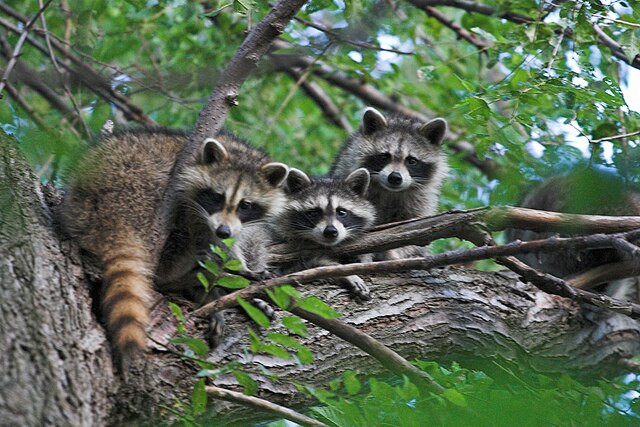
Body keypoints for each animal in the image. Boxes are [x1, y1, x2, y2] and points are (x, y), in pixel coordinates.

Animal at [62, 129, 288, 362]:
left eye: (245, 205)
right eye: (217, 197)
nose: (223, 230)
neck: (238, 151)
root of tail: (107, 208)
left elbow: (227, 243)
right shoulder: (191, 199)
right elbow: (211, 238)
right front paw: (240, 272)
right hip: (144, 188)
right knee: (173, 259)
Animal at [332, 107, 448, 260]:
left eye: (411, 161)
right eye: (384, 156)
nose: (395, 177)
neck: (390, 191)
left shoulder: (420, 201)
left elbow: (415, 228)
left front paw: (395, 253)